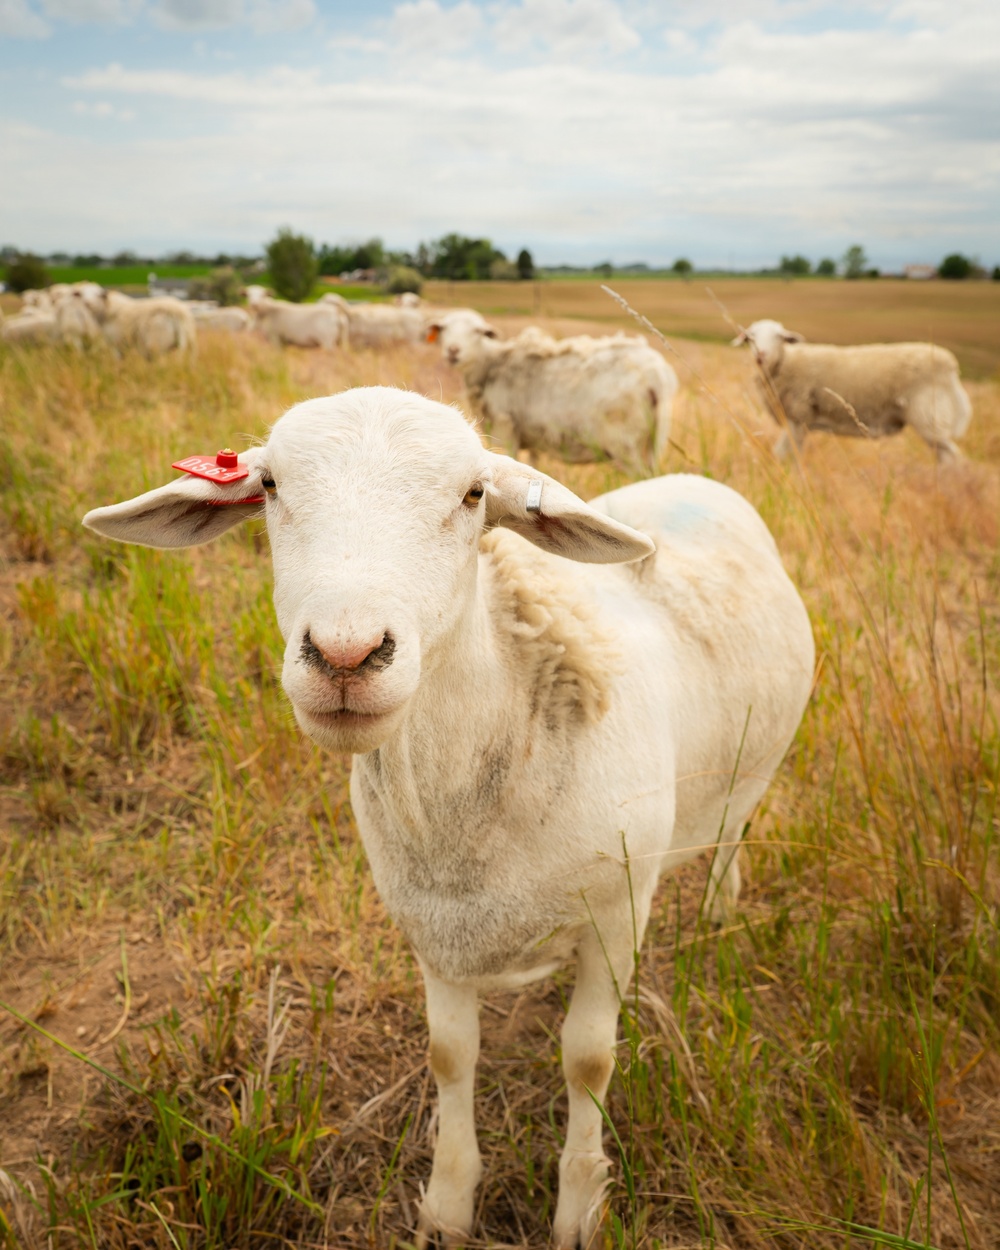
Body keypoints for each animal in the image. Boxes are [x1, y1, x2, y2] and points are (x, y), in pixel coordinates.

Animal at [83, 386, 814, 1249]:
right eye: (267, 486)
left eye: (472, 496)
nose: (346, 655)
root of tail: (698, 480)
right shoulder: (431, 924)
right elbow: (449, 1055)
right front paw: (448, 1202)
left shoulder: (619, 909)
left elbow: (588, 1059)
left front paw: (580, 1205)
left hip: (755, 767)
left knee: (733, 830)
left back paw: (717, 910)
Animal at [431, 310, 678, 472]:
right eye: (443, 329)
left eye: (478, 331)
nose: (453, 350)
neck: (491, 364)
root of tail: (658, 374)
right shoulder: (532, 437)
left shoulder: (505, 431)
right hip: (654, 440)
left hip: (624, 443)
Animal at [733, 319, 973, 461]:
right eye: (751, 336)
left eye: (779, 337)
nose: (760, 355)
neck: (784, 362)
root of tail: (951, 365)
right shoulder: (801, 424)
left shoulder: (797, 417)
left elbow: (783, 453)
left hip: (929, 415)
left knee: (953, 459)